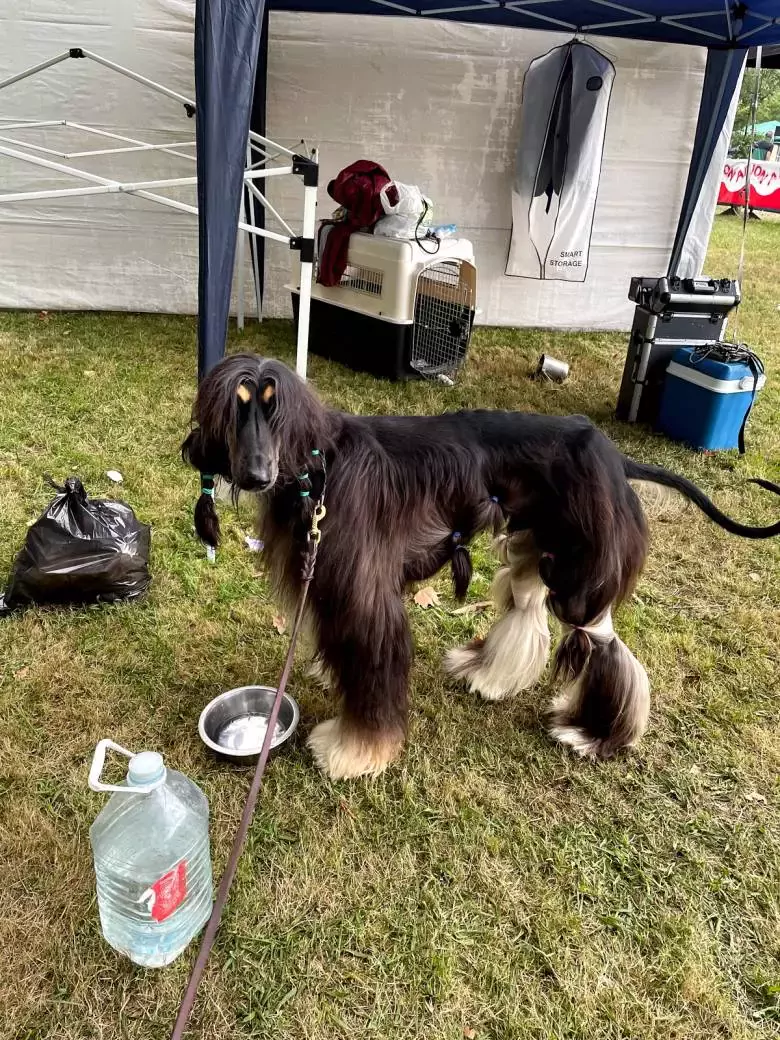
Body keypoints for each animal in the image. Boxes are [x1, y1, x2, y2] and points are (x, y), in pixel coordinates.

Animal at [185, 353, 780, 777]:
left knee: (601, 641)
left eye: (273, 407)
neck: (318, 467)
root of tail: (612, 453)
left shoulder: (365, 591)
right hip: (534, 546)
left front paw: (354, 752)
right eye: (236, 408)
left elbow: (373, 667)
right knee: (525, 607)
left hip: (579, 574)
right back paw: (489, 676)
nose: (257, 474)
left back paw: (592, 733)